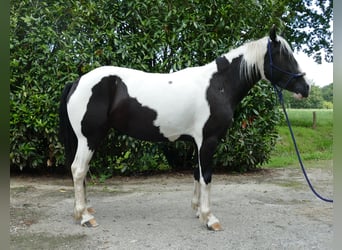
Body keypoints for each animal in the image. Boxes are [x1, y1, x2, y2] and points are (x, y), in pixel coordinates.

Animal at [59, 25, 310, 230]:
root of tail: (78, 81)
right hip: (89, 138)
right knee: (78, 170)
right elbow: (207, 176)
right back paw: (85, 217)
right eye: (283, 56)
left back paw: (84, 210)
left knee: (82, 172)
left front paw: (198, 211)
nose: (305, 88)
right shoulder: (209, 140)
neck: (218, 86)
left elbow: (197, 174)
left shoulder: (198, 143)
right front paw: (210, 218)